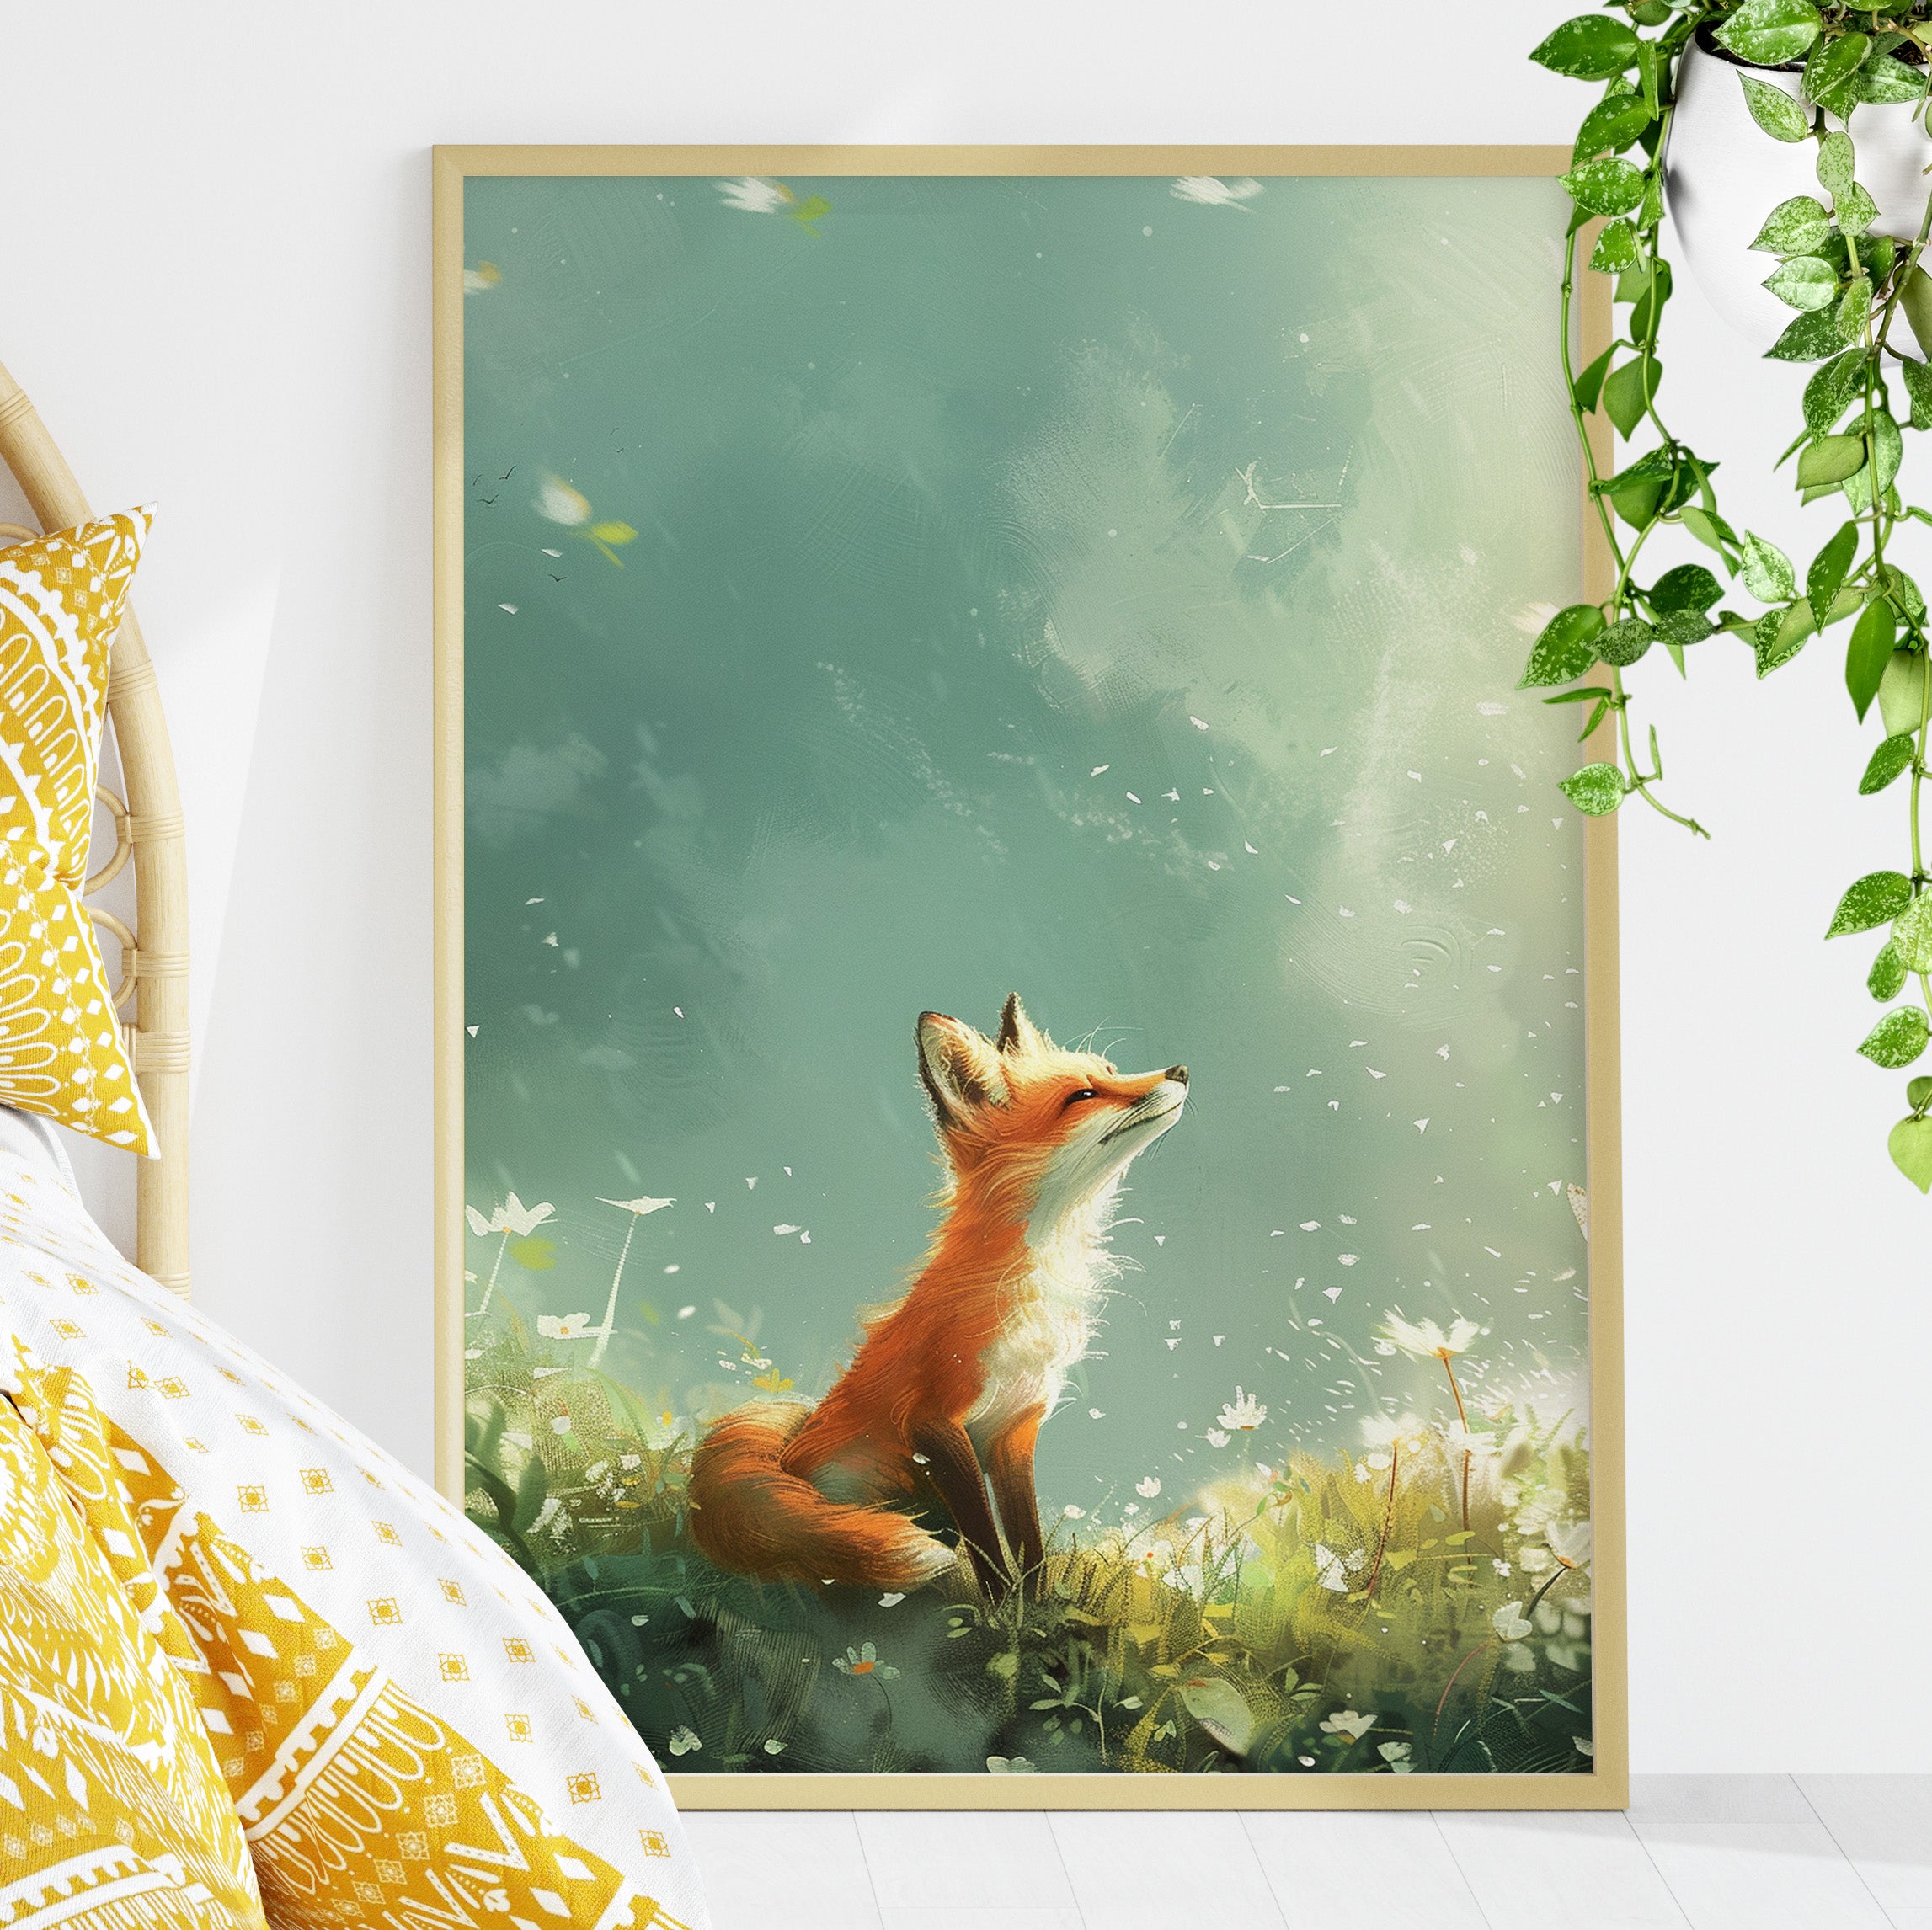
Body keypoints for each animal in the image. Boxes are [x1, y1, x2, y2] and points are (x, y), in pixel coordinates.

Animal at [688, 993, 1188, 1596]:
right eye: (1083, 1096)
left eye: (1112, 1070)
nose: (1181, 1071)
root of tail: (785, 1454)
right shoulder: (933, 1421)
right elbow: (986, 1541)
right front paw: (1000, 1606)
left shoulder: (1017, 1425)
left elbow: (1028, 1540)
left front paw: (1036, 1604)